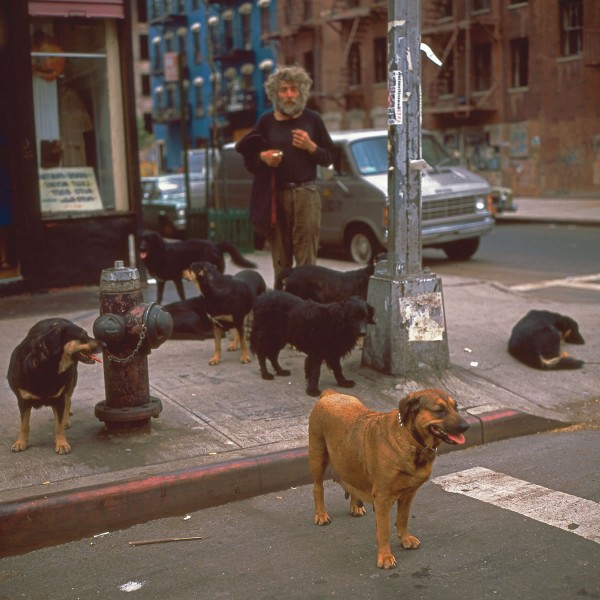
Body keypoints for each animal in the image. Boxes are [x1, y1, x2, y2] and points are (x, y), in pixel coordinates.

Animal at [7, 318, 102, 454]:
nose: (105, 344)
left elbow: (58, 424)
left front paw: (62, 443)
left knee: (68, 401)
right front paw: (20, 442)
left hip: (70, 383)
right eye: (83, 335)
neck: (46, 367)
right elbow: (24, 425)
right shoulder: (23, 401)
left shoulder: (59, 399)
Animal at [310, 390, 468, 568]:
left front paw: (405, 540)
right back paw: (321, 514)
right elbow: (384, 530)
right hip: (317, 457)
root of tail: (330, 394)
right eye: (439, 410)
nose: (466, 426)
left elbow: (402, 519)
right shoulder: (383, 500)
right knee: (318, 488)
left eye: (456, 408)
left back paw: (355, 506)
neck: (411, 441)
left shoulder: (408, 495)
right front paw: (385, 557)